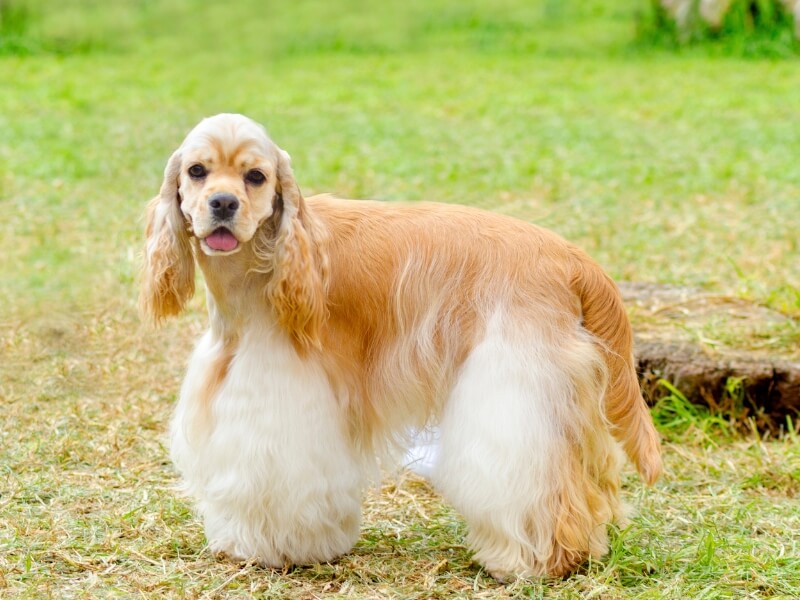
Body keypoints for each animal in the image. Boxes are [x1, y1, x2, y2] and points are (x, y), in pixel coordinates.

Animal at [142, 113, 664, 580]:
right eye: (197, 171)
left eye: (256, 176)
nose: (223, 203)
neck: (265, 263)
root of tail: (572, 257)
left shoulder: (283, 395)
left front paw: (279, 548)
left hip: (516, 381)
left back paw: (534, 561)